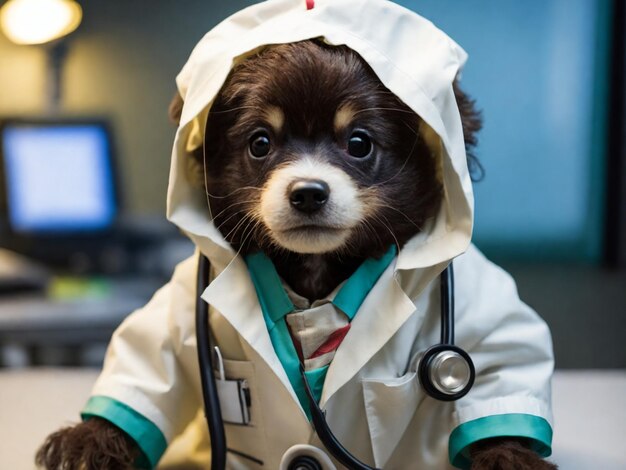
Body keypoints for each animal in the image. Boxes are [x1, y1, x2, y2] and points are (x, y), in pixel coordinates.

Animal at [36, 41, 552, 470]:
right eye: (260, 142)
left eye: (359, 142)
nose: (307, 192)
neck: (315, 276)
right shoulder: (183, 297)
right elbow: (150, 354)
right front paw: (89, 441)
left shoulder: (482, 307)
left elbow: (504, 360)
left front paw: (508, 458)